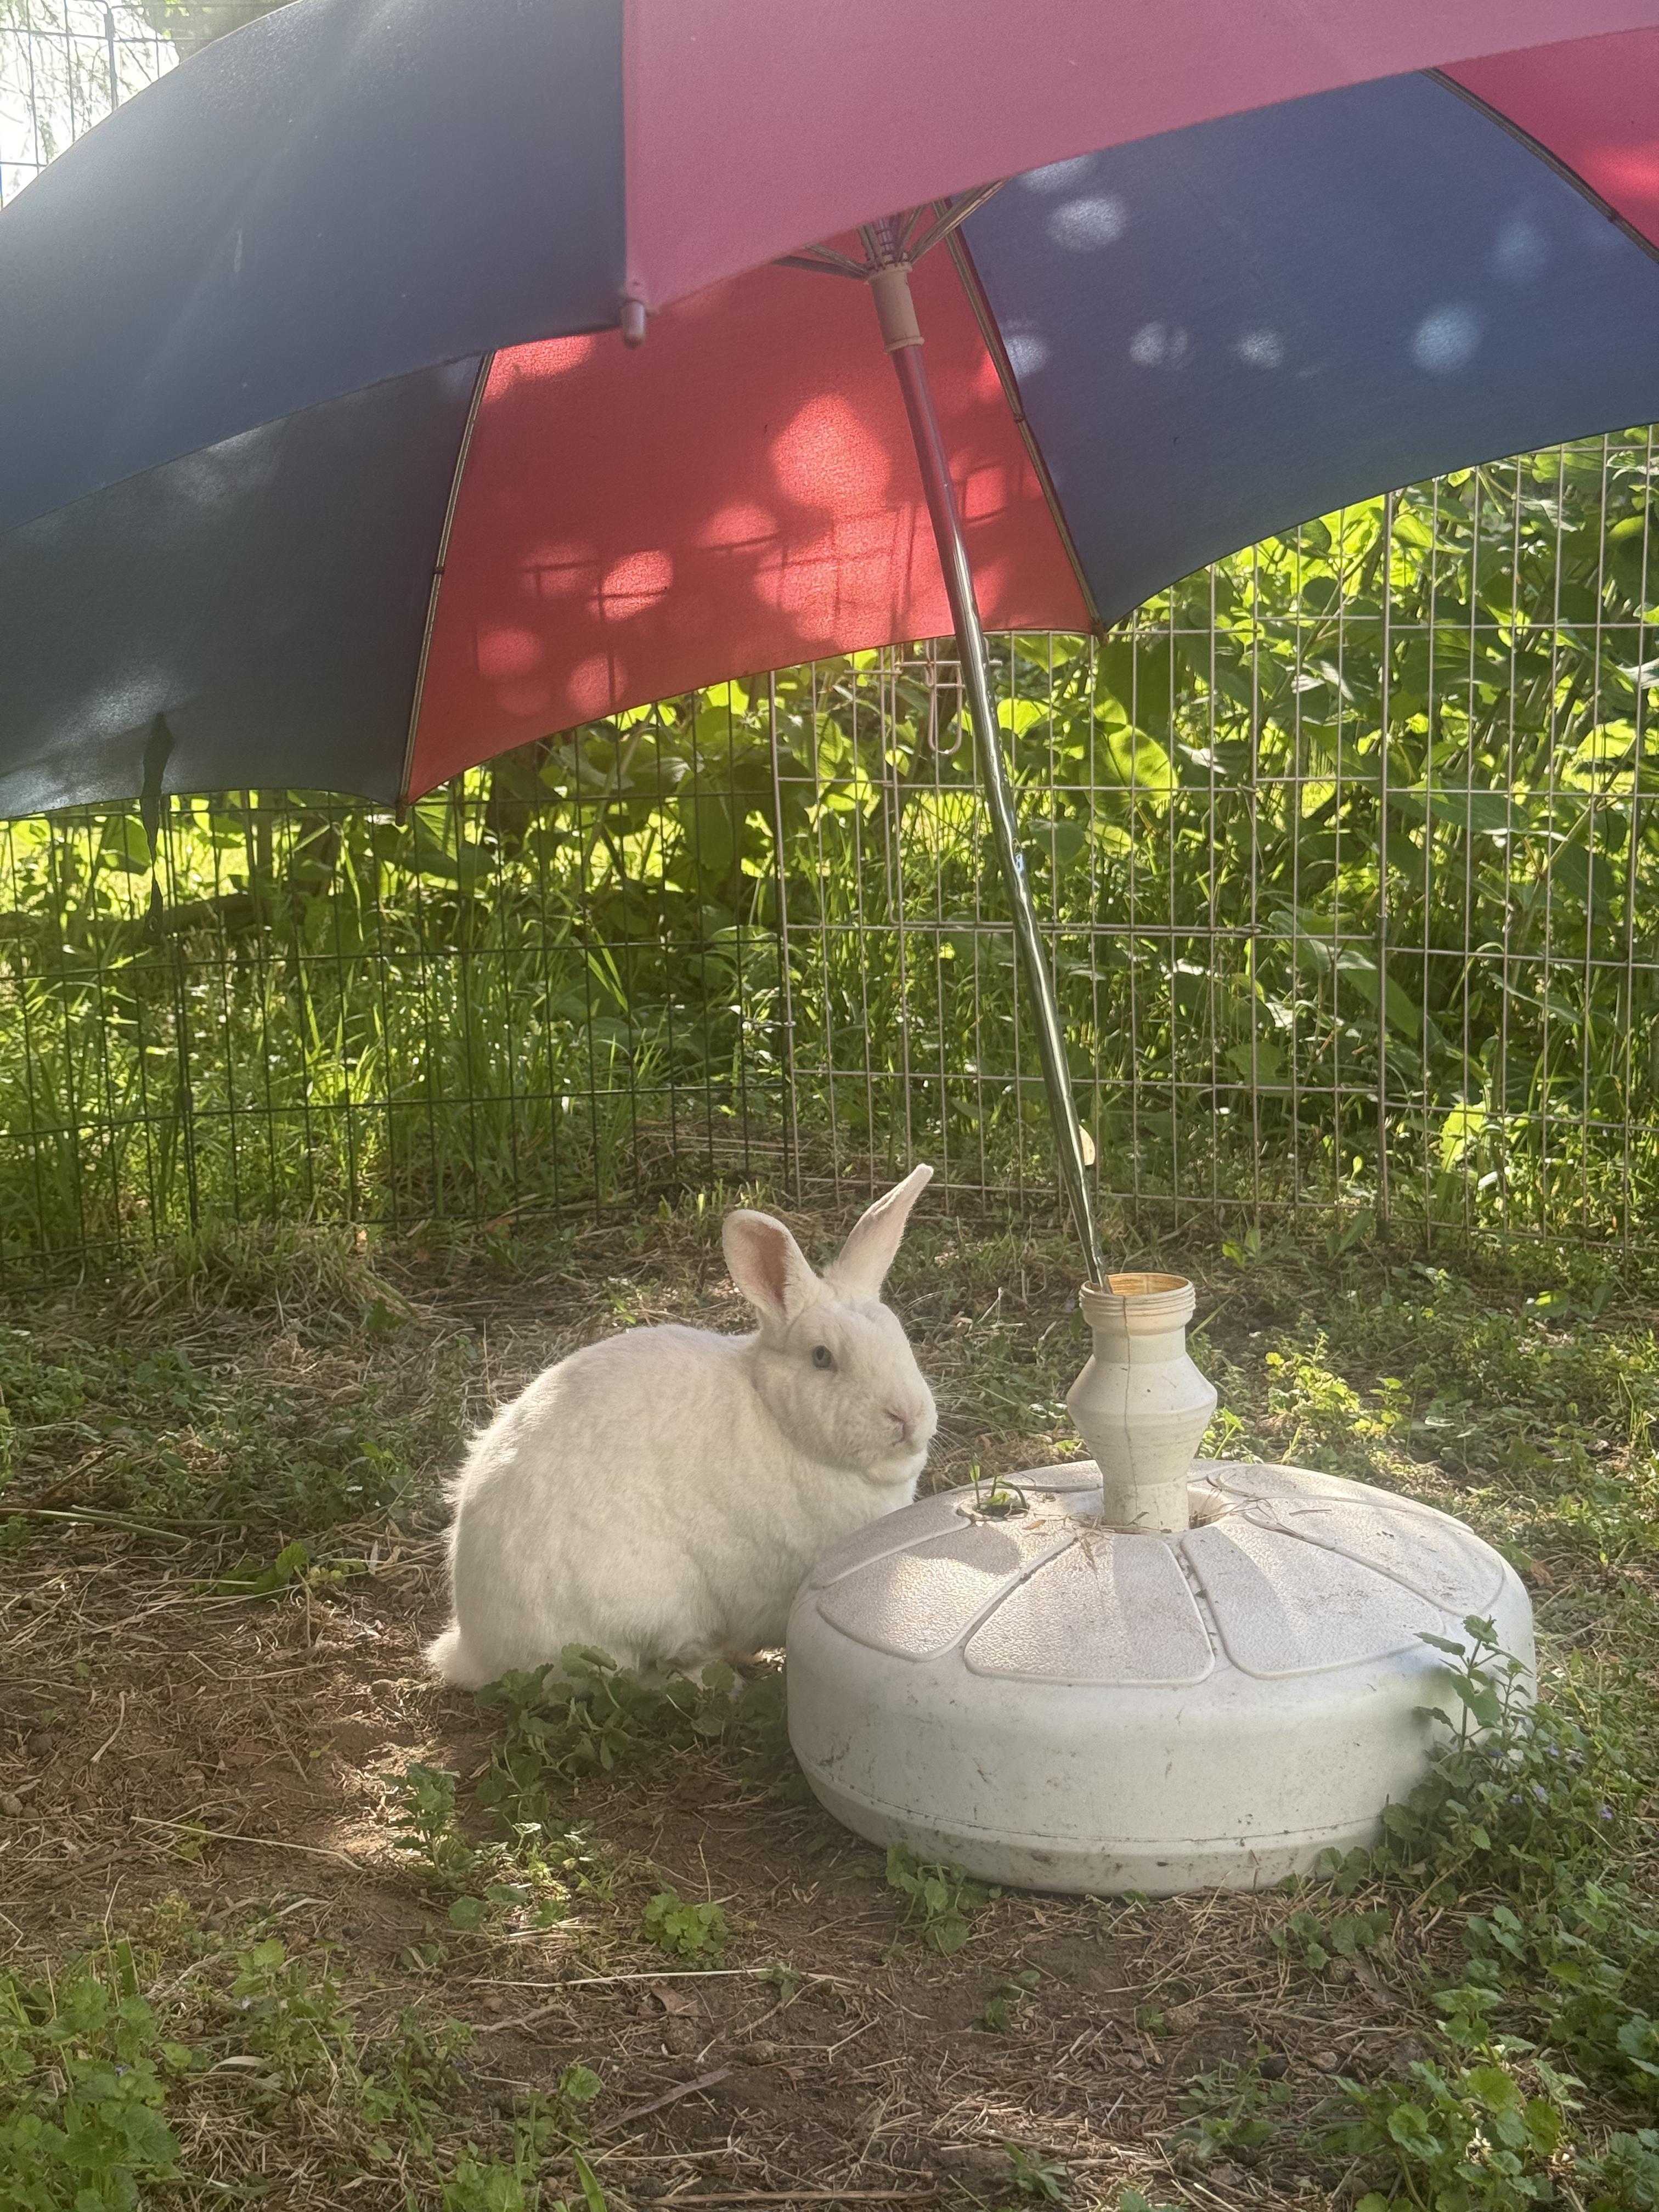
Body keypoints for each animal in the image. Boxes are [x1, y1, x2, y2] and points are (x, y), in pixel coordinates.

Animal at [425, 1164, 938, 1690]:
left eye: (901, 1340)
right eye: (822, 1357)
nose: (907, 1416)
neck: (778, 1419)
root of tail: (473, 1649)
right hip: (643, 1613)